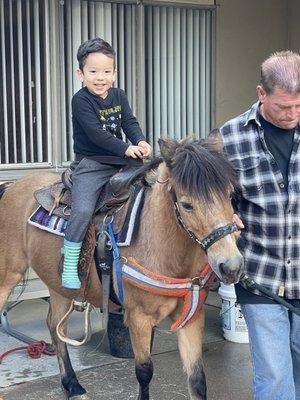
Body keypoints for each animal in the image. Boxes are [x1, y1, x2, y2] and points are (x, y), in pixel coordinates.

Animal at [0, 138, 244, 400]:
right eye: (187, 205)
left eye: (230, 194)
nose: (231, 267)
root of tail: (12, 187)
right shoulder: (138, 317)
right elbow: (144, 373)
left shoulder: (191, 317)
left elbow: (197, 380)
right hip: (9, 274)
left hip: (58, 286)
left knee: (55, 327)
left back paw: (72, 385)